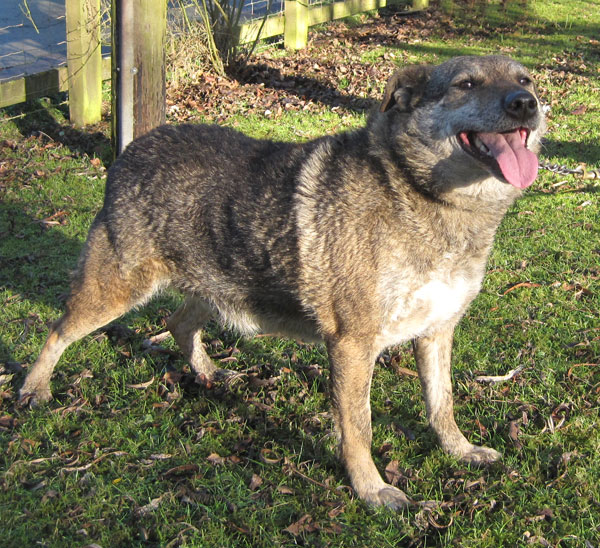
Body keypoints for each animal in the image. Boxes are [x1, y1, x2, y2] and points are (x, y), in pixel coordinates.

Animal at [19, 55, 544, 510]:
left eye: (525, 79)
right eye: (467, 84)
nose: (526, 104)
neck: (421, 193)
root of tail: (137, 146)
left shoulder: (437, 332)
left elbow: (442, 404)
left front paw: (460, 450)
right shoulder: (353, 345)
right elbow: (359, 428)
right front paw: (371, 489)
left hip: (219, 287)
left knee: (177, 321)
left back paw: (206, 371)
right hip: (114, 292)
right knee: (58, 329)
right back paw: (33, 389)